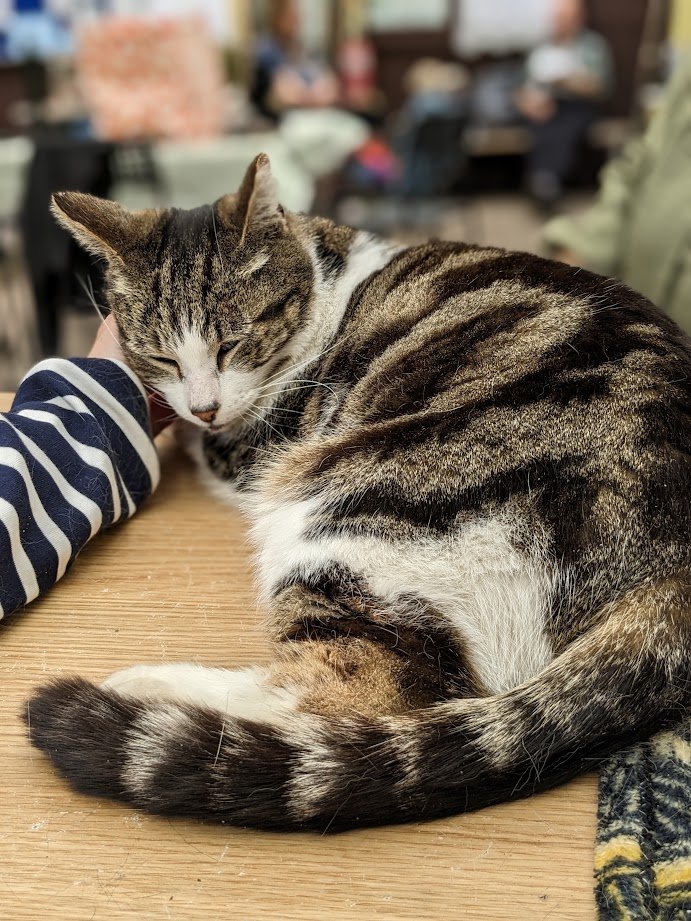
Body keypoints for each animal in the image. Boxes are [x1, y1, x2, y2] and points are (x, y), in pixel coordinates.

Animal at [24, 155, 688, 832]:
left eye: (232, 344)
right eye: (161, 358)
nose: (204, 406)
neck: (325, 279)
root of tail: (666, 583)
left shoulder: (257, 450)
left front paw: (186, 433)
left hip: (348, 506)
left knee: (345, 701)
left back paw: (147, 685)